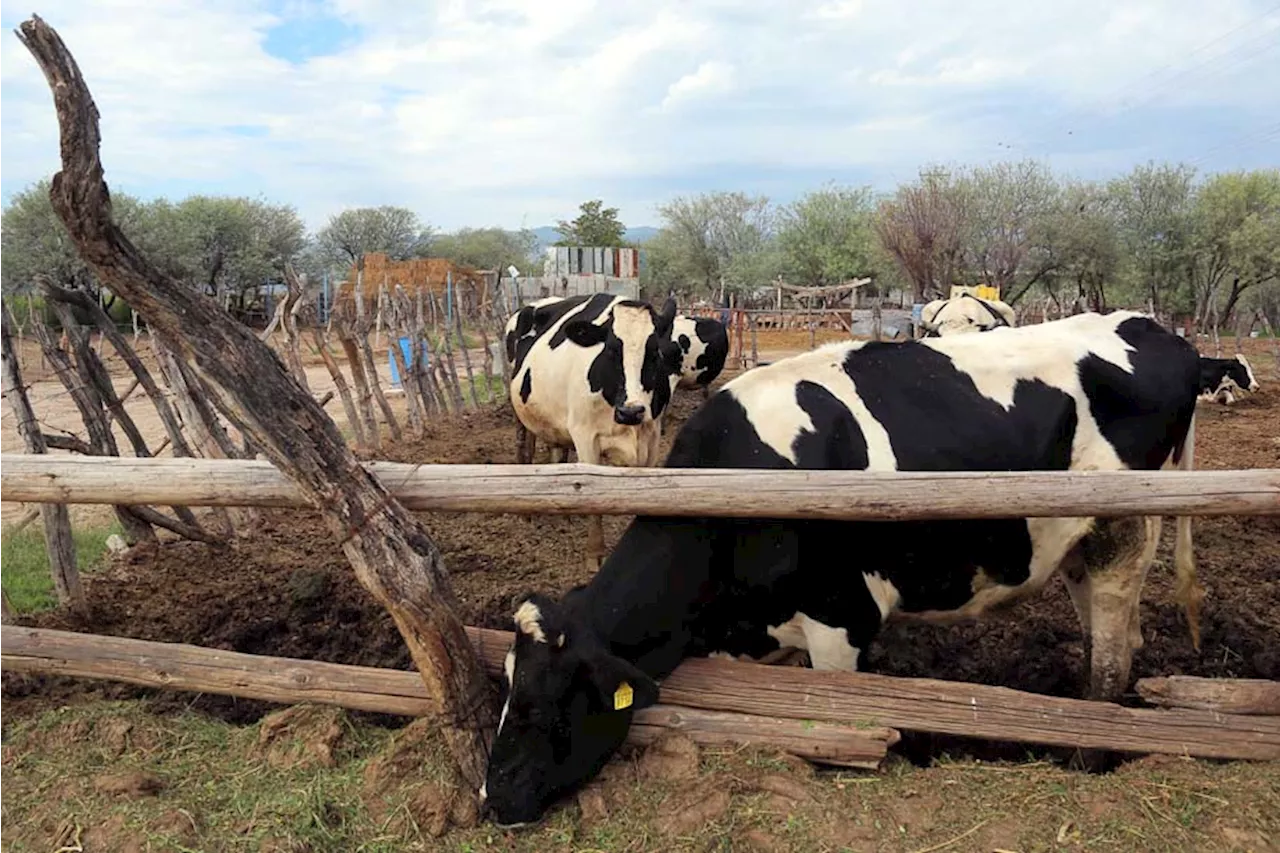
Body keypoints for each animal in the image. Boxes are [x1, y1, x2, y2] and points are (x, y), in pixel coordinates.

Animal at [499, 290, 686, 563]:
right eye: (609, 351)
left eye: (654, 353)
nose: (631, 411)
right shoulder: (585, 435)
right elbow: (592, 494)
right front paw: (595, 554)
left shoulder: (652, 435)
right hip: (519, 412)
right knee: (525, 450)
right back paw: (527, 515)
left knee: (558, 454)